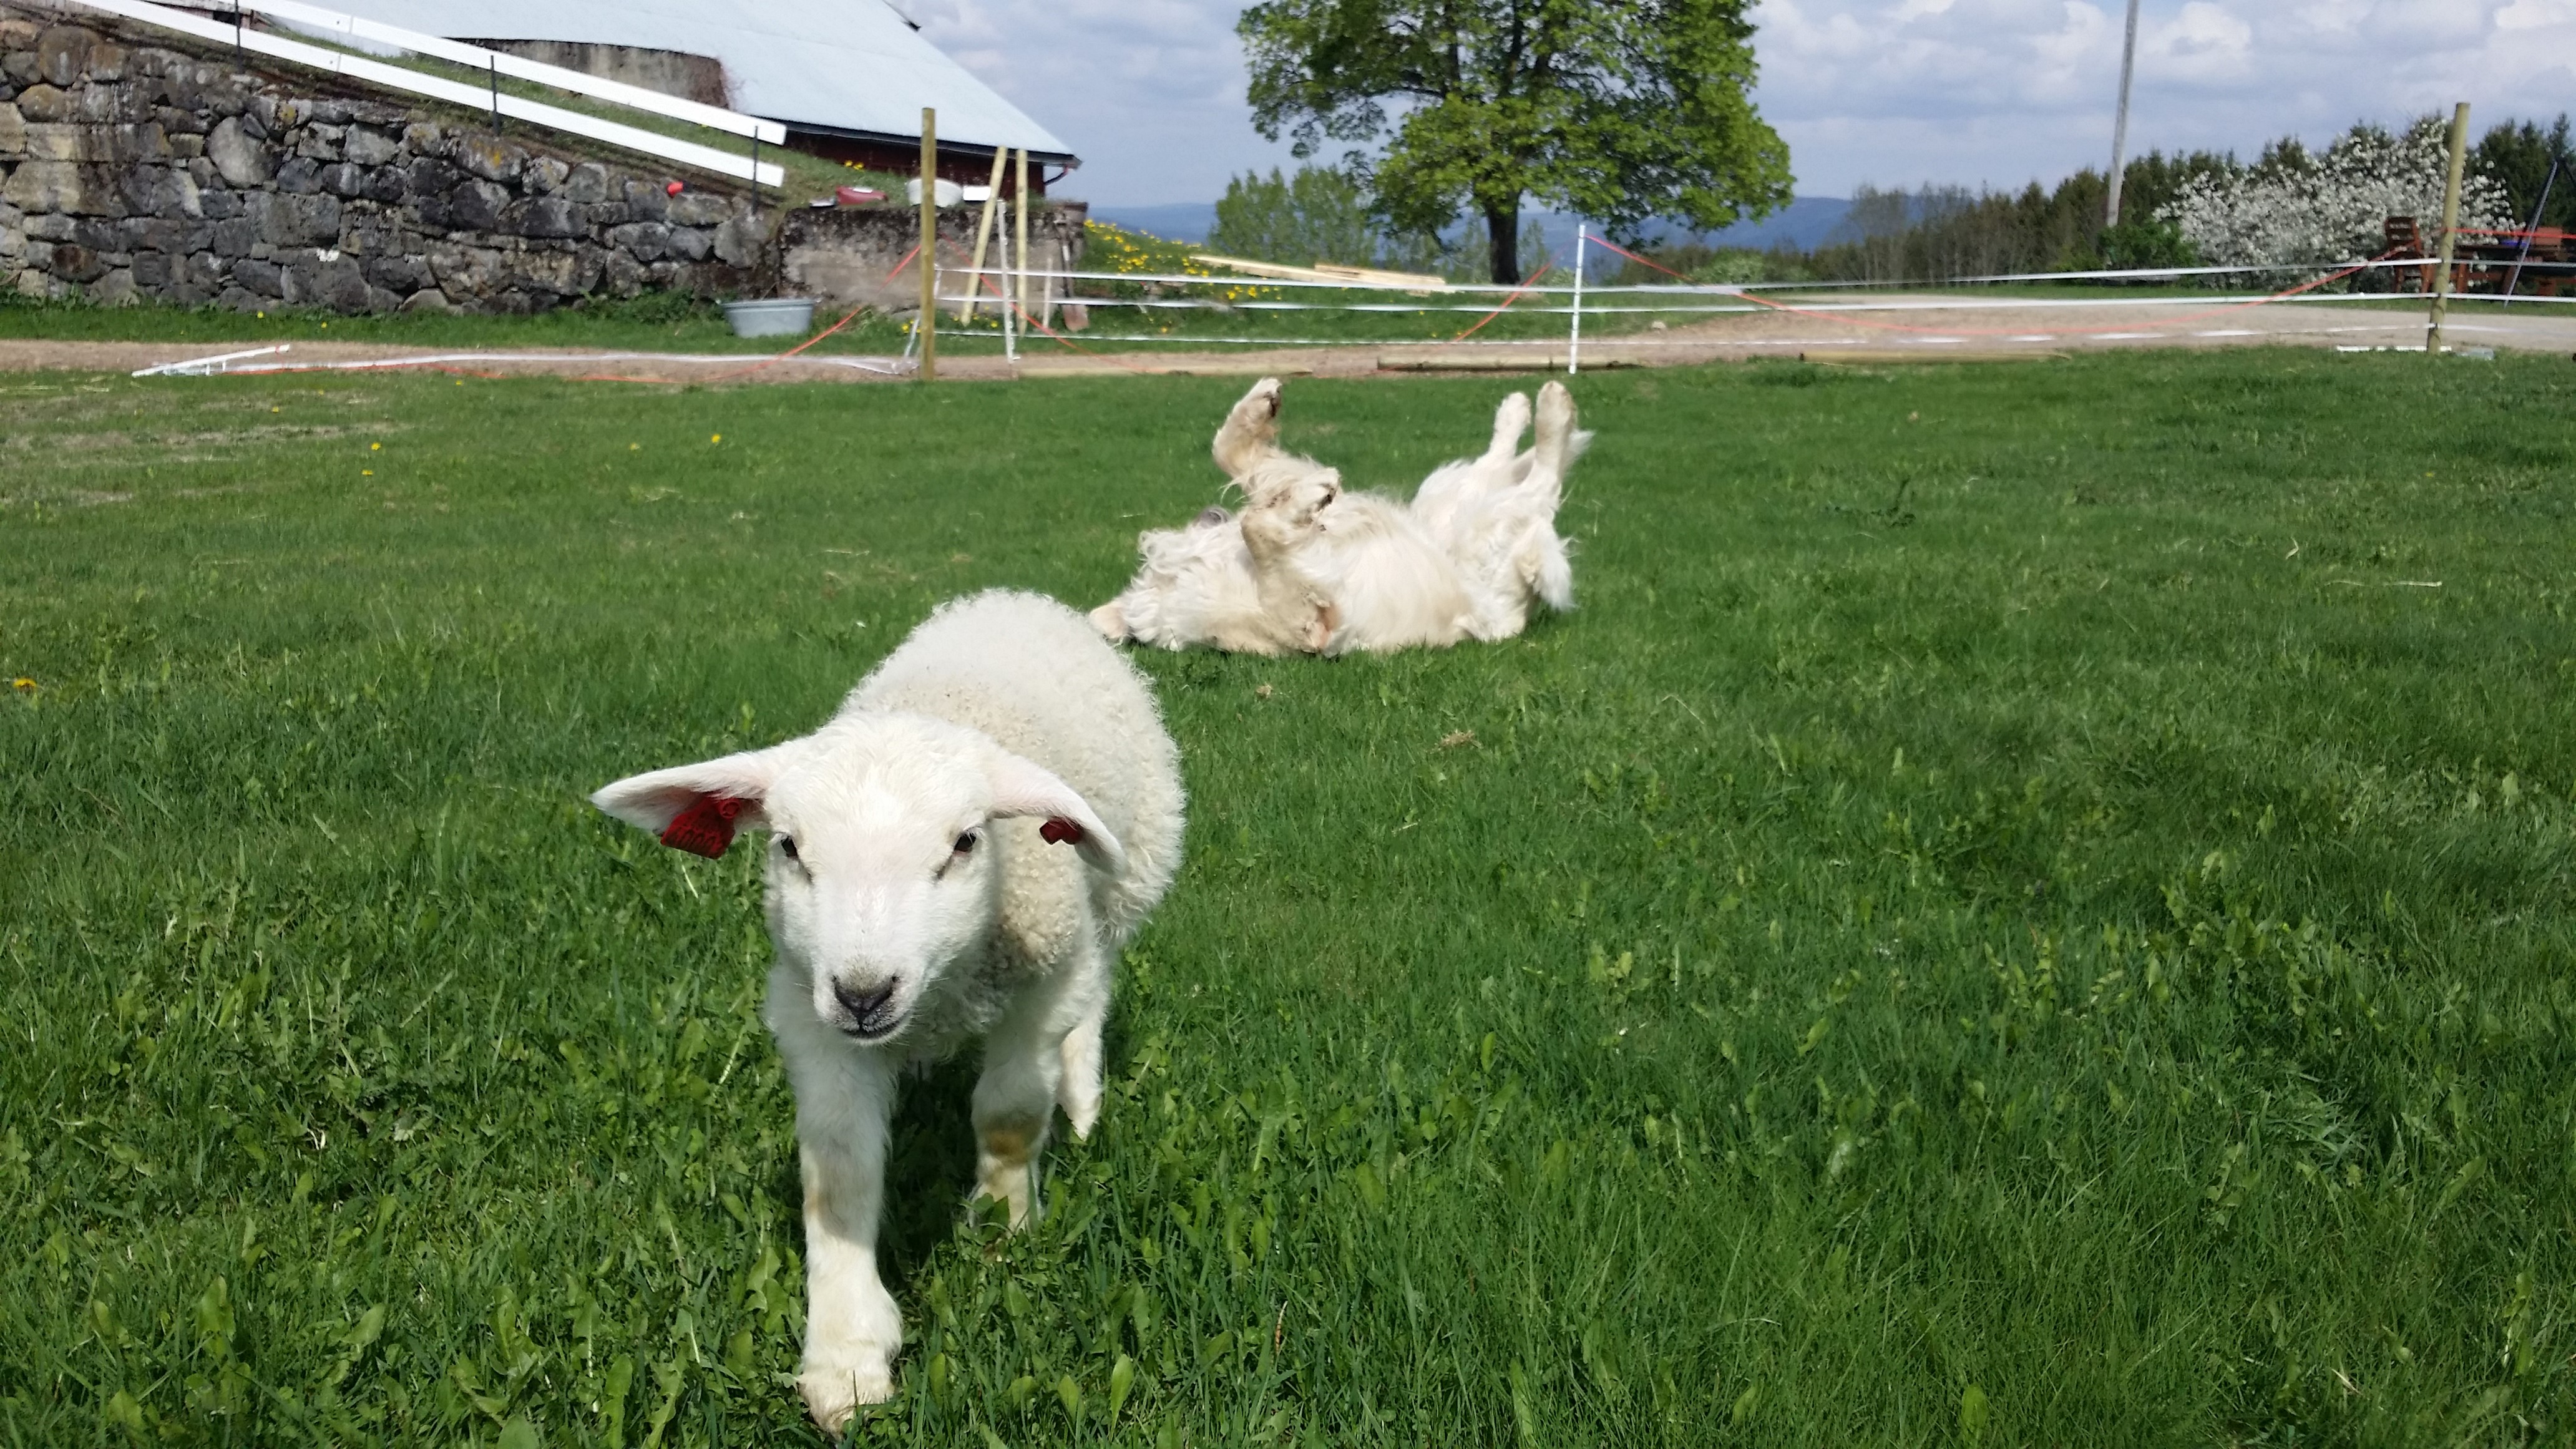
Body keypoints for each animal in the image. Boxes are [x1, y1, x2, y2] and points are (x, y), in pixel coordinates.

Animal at [590, 590, 1185, 1433]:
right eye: (788, 846)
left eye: (966, 842)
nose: (865, 995)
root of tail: (1009, 599)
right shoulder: (811, 1015)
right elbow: (837, 1172)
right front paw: (845, 1355)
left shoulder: (1039, 986)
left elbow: (1009, 1115)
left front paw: (1002, 1230)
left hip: (1119, 887)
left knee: (1095, 988)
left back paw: (1082, 1098)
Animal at [1089, 377, 1585, 655]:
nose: (1209, 514)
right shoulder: (1312, 624)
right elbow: (1257, 525)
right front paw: (1315, 493)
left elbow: (1233, 457)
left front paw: (1260, 406)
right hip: (1491, 531)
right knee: (1541, 481)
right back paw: (1552, 408)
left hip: (1445, 504)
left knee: (1505, 463)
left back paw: (1516, 407)